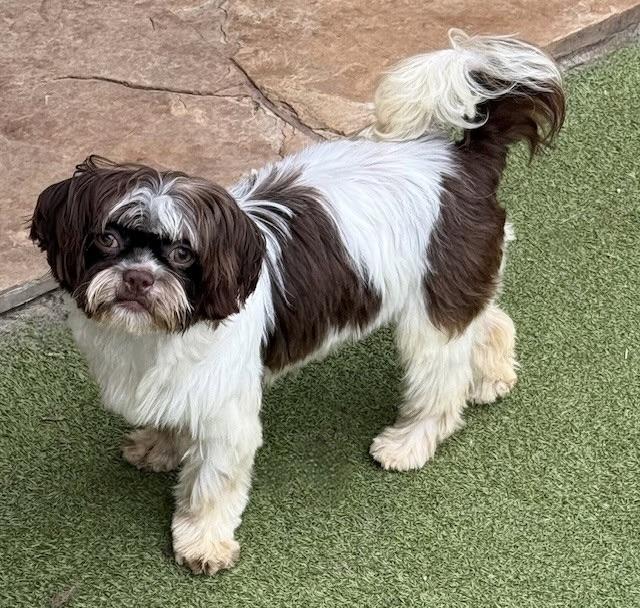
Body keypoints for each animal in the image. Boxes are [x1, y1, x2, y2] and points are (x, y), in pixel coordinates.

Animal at [30, 30, 564, 574]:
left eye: (182, 253)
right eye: (108, 239)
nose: (138, 278)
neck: (157, 334)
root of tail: (461, 163)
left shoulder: (225, 408)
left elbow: (213, 482)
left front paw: (203, 541)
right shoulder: (178, 385)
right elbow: (172, 418)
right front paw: (160, 446)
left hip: (432, 309)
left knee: (440, 379)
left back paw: (410, 442)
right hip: (452, 283)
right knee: (488, 320)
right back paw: (492, 376)